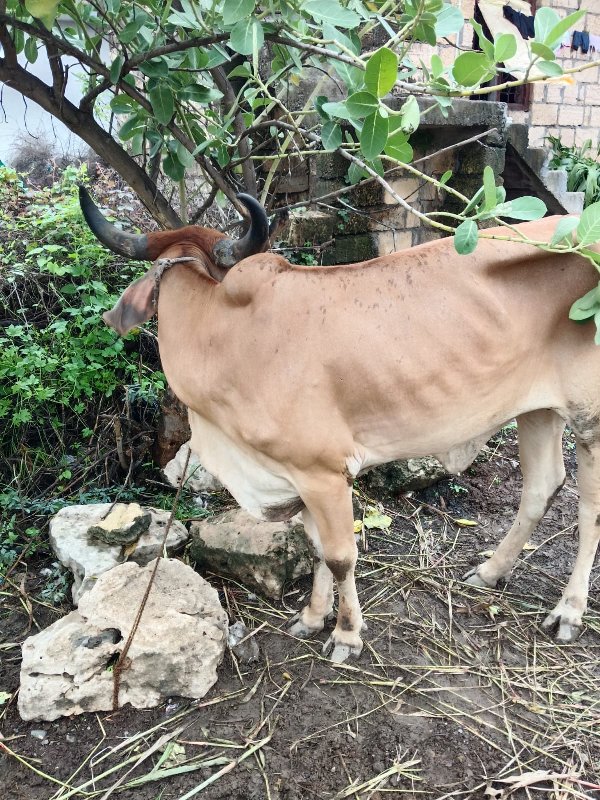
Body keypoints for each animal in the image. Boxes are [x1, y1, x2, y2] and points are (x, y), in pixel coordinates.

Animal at [80, 185, 600, 663]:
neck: (223, 336)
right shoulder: (296, 477)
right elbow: (314, 549)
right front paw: (312, 617)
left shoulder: (324, 474)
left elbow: (339, 556)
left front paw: (347, 634)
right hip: (536, 410)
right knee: (541, 487)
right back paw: (491, 572)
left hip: (589, 419)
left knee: (589, 512)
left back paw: (569, 612)